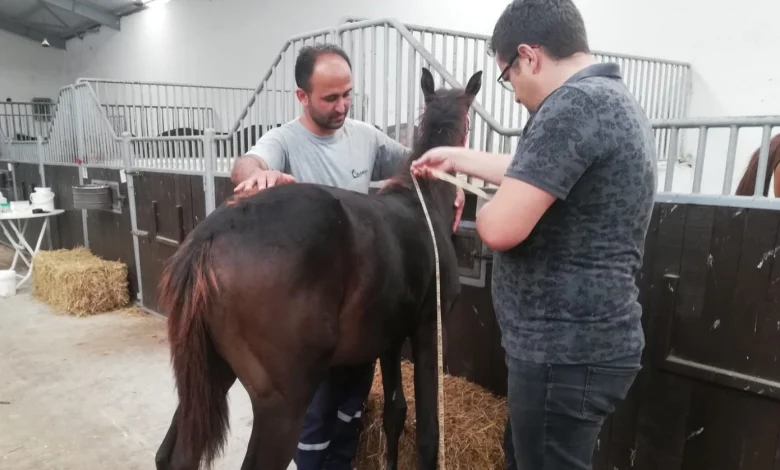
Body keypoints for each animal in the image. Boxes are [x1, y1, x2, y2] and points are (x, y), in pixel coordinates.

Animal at [152, 67, 482, 470]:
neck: (422, 201)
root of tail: (209, 237)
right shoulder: (427, 331)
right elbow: (428, 432)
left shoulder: (389, 340)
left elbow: (395, 413)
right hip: (283, 405)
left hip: (211, 375)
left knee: (171, 456)